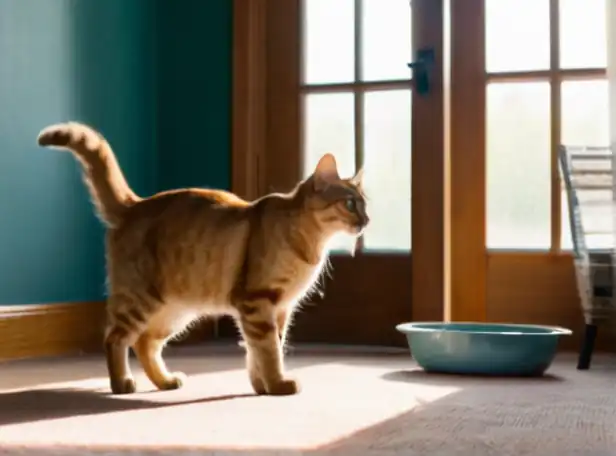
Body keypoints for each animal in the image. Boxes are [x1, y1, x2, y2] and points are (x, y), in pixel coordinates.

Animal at [37, 122, 370, 396]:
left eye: (366, 205)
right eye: (350, 203)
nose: (367, 220)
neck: (309, 244)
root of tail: (134, 204)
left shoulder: (279, 310)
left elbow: (258, 351)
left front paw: (262, 386)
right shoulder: (258, 302)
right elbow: (269, 351)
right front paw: (277, 385)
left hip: (175, 311)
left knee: (145, 343)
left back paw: (165, 381)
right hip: (140, 300)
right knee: (115, 338)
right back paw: (122, 383)